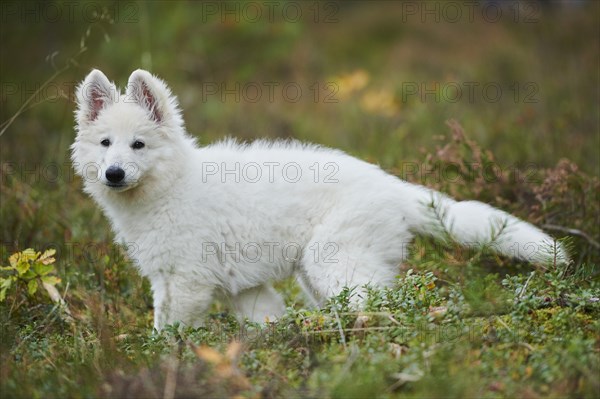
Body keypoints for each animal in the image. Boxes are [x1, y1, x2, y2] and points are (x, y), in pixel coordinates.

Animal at [71, 69, 568, 332]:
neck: (170, 185)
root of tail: (391, 185)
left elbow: (169, 332)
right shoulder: (236, 285)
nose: (113, 174)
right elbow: (263, 319)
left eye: (138, 145)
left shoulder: (187, 281)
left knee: (380, 305)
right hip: (321, 274)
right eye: (105, 144)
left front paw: (163, 363)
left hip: (334, 262)